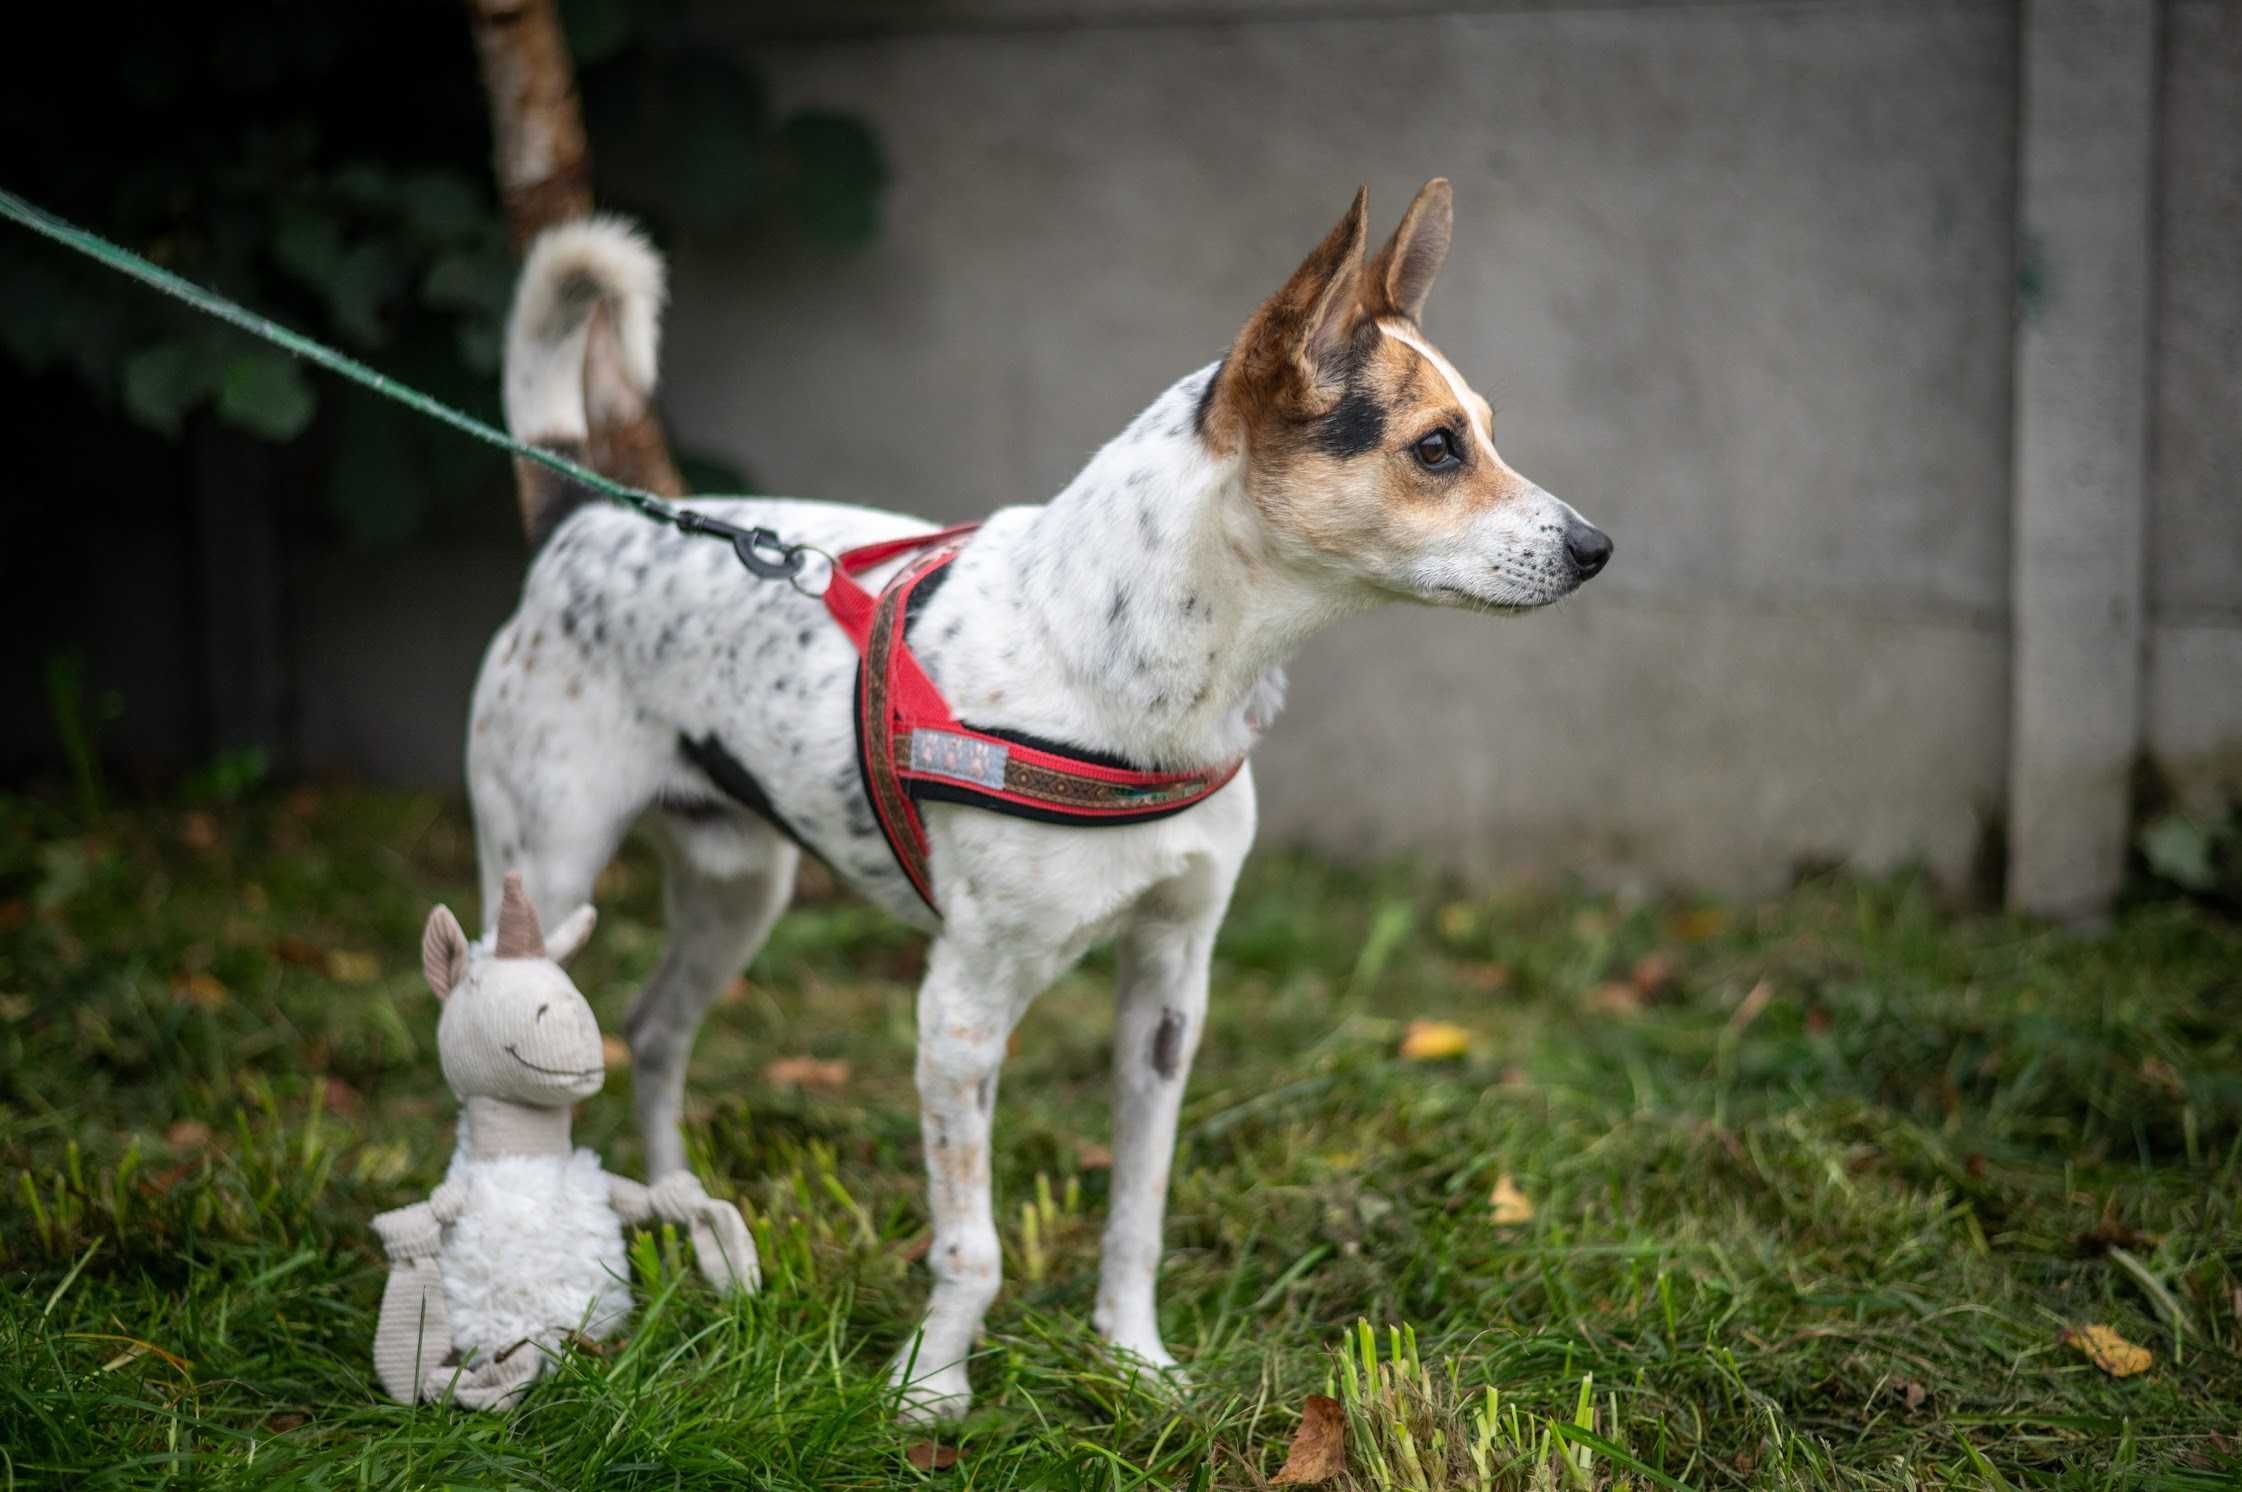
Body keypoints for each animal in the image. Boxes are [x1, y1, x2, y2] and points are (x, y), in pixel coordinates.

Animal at [473, 180, 1614, 1417]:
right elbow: (970, 1245)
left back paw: (685, 1212)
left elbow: (1138, 1207)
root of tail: (583, 517)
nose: (1596, 547)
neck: (1126, 669)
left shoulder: (1170, 990)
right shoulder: (959, 1010)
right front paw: (930, 1388)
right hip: (542, 875)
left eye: (1484, 429)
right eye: (1436, 447)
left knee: (653, 1028)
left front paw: (1133, 1359)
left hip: (739, 888)